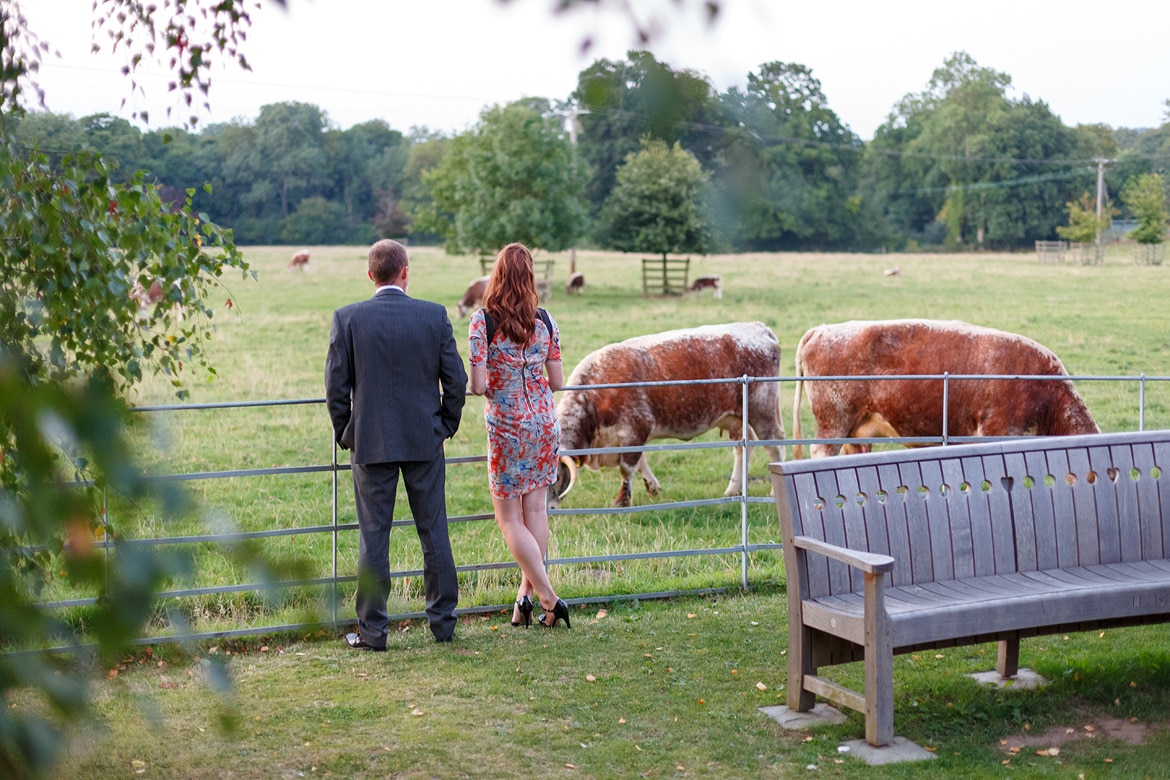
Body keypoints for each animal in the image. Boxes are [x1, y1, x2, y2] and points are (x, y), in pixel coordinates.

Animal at [549, 322, 786, 509]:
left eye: (557, 477)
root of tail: (758, 327)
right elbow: (641, 462)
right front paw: (652, 487)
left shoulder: (635, 428)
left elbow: (627, 468)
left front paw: (622, 501)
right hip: (736, 417)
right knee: (744, 447)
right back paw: (734, 488)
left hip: (762, 410)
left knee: (774, 443)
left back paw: (774, 491)